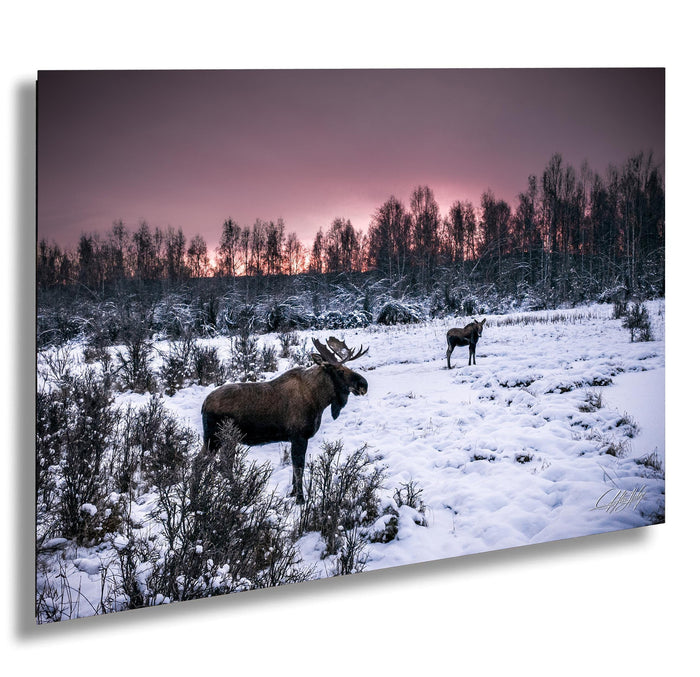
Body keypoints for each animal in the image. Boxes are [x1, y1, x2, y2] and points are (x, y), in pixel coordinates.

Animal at [201, 337, 369, 503]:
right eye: (340, 371)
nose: (363, 384)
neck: (319, 400)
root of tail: (204, 405)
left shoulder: (295, 438)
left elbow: (295, 470)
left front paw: (293, 494)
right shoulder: (299, 436)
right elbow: (298, 468)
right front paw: (300, 499)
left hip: (219, 439)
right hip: (219, 437)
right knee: (215, 465)